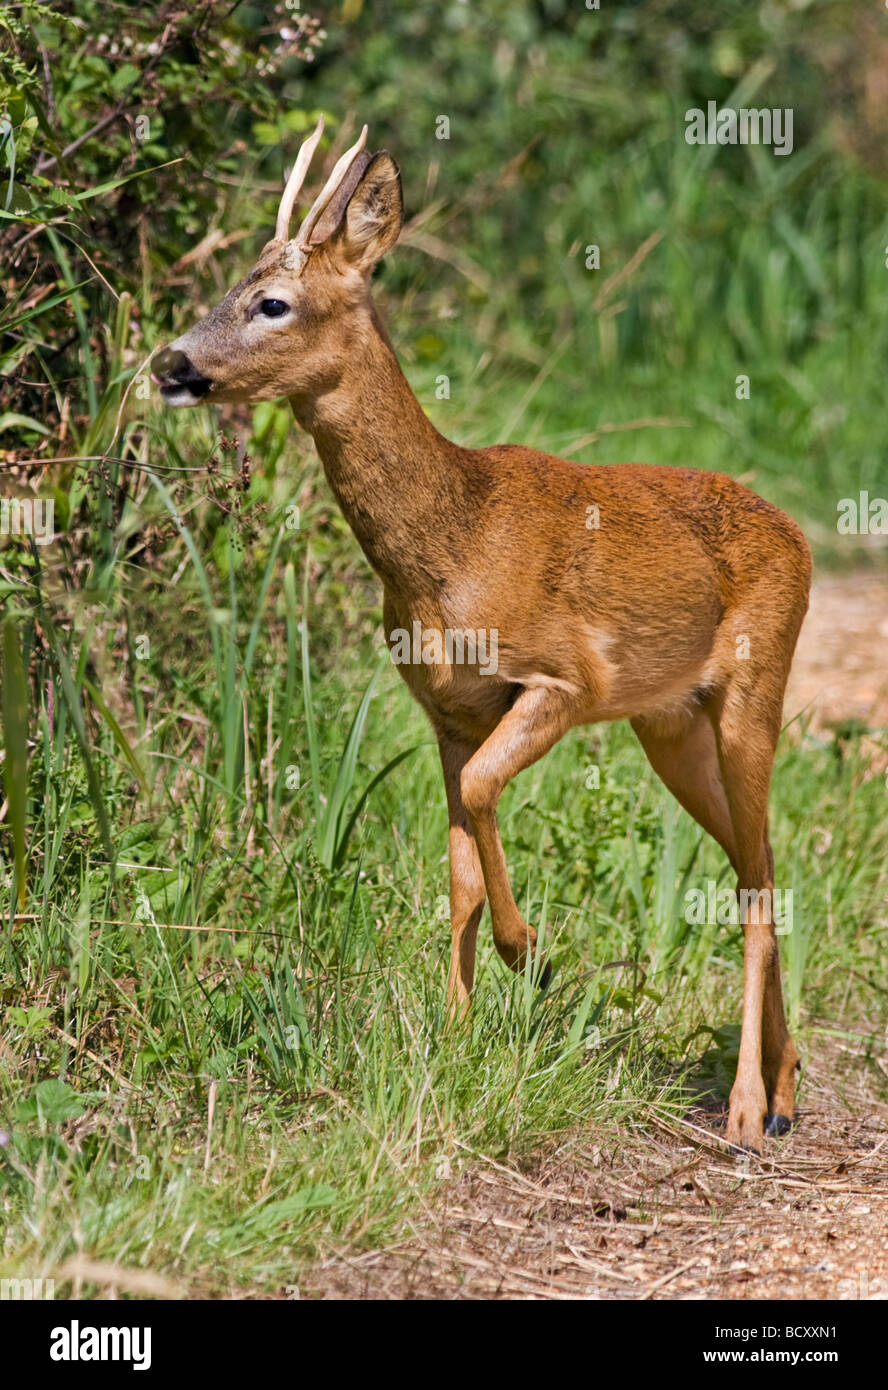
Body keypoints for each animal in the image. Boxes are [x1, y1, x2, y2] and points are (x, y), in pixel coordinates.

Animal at [154, 116, 811, 1150]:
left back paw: (748, 1107)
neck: (448, 549)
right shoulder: (447, 711)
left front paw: (530, 954)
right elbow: (458, 867)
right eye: (229, 286)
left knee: (756, 886)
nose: (169, 364)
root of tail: (798, 534)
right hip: (668, 722)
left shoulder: (567, 679)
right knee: (757, 866)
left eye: (272, 302)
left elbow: (481, 796)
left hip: (756, 683)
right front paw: (456, 1044)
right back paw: (785, 1086)